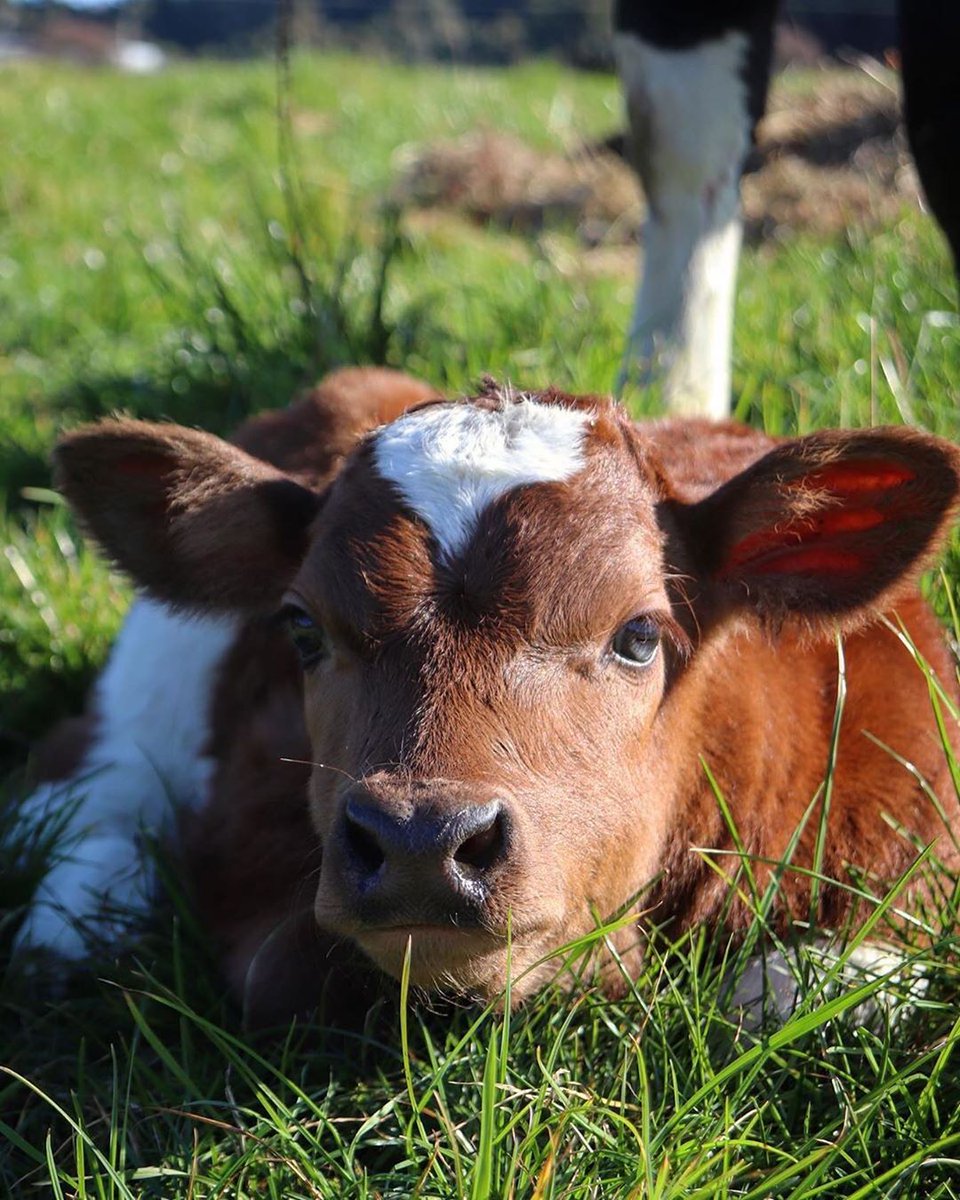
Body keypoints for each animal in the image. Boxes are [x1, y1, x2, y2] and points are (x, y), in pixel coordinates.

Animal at [12, 367, 960, 1024]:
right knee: (90, 771)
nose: (421, 843)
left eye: (639, 635)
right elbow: (277, 965)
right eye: (303, 630)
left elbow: (794, 985)